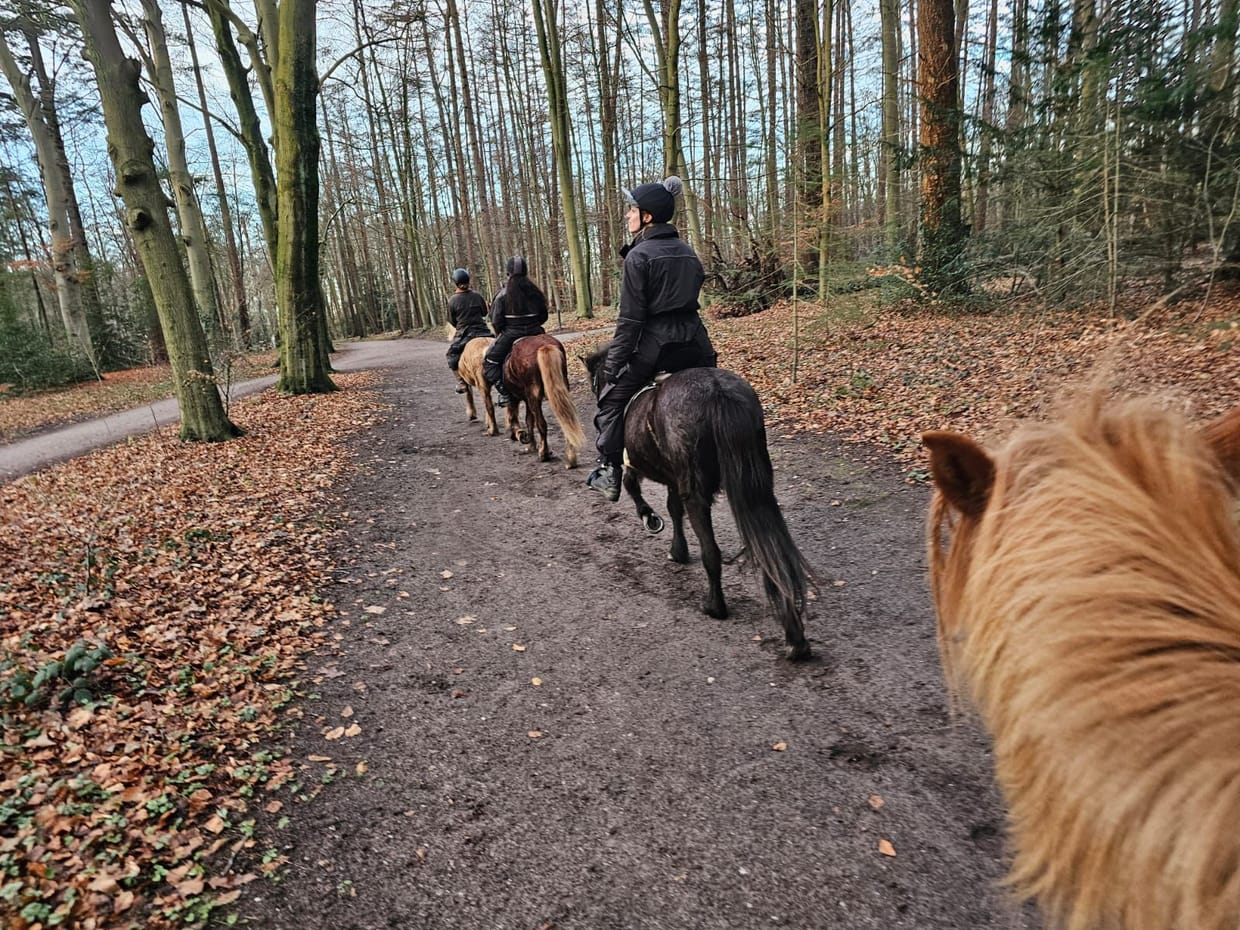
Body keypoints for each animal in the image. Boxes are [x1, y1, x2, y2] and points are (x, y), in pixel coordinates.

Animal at [502, 334, 585, 468]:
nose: (514, 437)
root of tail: (544, 346)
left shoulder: (520, 398)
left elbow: (523, 419)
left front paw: (525, 439)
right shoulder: (527, 399)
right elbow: (529, 420)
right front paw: (531, 445)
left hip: (534, 394)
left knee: (542, 424)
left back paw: (544, 454)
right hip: (561, 386)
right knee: (566, 417)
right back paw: (570, 458)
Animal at [583, 343, 814, 661]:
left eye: (596, 381)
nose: (598, 398)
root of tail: (718, 393)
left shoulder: (637, 463)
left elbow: (633, 487)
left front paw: (649, 518)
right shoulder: (672, 478)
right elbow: (672, 508)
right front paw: (677, 550)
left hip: (696, 492)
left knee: (711, 552)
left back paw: (714, 606)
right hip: (756, 486)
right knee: (771, 549)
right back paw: (795, 637)